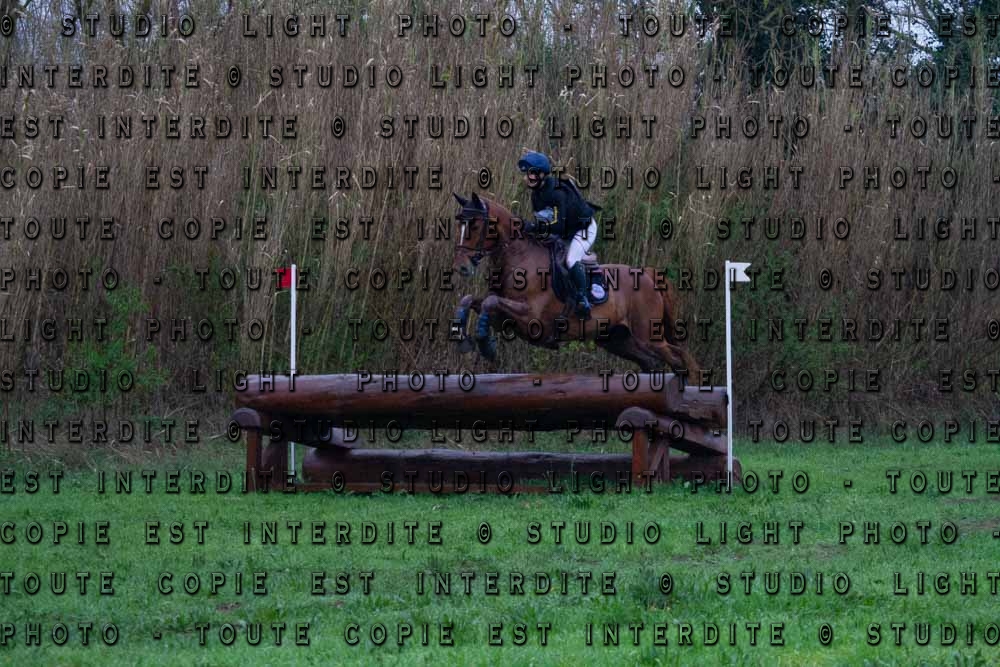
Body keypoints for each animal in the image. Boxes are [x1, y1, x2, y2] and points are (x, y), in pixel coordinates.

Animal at [451, 192, 701, 375]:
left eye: (475, 226)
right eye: (460, 225)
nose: (461, 266)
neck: (518, 257)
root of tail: (648, 274)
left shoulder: (530, 316)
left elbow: (490, 301)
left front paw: (485, 345)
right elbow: (472, 300)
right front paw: (470, 339)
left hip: (648, 335)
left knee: (680, 357)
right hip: (619, 340)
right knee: (651, 362)